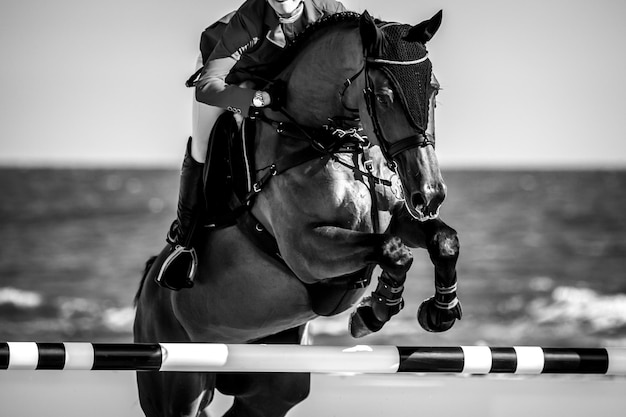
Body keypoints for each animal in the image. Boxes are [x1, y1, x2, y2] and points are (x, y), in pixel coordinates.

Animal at [134, 9, 460, 416]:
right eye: (384, 97)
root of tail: (146, 292)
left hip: (274, 380)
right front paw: (374, 311)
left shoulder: (399, 216)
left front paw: (439, 310)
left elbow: (442, 239)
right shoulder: (307, 250)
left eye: (435, 90)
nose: (430, 194)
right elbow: (392, 251)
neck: (326, 141)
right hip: (178, 383)